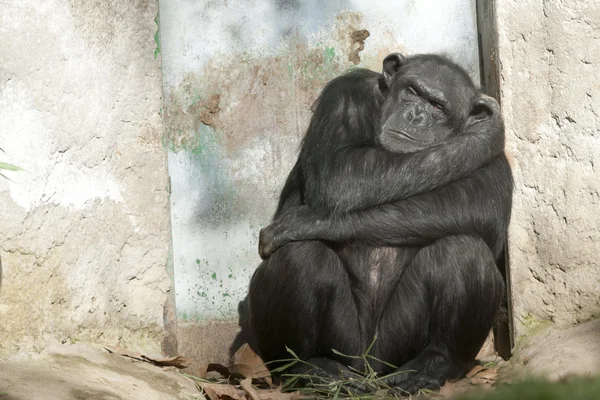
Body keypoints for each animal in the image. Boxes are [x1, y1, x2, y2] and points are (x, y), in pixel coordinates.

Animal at [244, 53, 510, 394]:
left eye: (438, 107)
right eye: (411, 91)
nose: (415, 116)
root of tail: (369, 370)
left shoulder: (498, 166)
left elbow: (480, 207)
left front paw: (305, 221)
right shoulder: (345, 95)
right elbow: (341, 172)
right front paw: (484, 134)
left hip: (395, 344)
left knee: (464, 250)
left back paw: (432, 365)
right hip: (345, 344)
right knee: (300, 255)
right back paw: (309, 368)